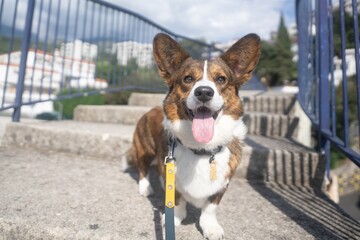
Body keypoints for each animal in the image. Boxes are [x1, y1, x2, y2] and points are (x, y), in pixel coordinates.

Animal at [126, 32, 258, 239]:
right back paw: (145, 187)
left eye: (221, 79)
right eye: (188, 78)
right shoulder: (172, 178)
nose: (204, 92)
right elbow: (177, 200)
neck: (202, 149)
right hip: (144, 148)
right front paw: (173, 218)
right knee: (142, 168)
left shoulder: (222, 184)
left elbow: (210, 207)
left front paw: (210, 227)